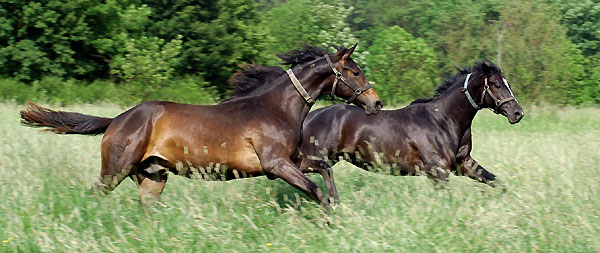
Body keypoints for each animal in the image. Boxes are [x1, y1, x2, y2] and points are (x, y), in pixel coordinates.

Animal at [22, 45, 384, 208]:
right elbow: (314, 190)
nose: (376, 103)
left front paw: (337, 204)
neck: (277, 108)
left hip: (153, 177)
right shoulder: (276, 165)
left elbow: (324, 169)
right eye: (354, 72)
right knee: (95, 196)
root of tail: (118, 119)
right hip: (116, 169)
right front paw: (329, 215)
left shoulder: (291, 161)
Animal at [302, 61, 524, 186]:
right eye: (497, 85)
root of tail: (308, 118)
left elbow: (496, 182)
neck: (444, 120)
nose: (518, 113)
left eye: (508, 84)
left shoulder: (463, 163)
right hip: (314, 159)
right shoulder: (438, 172)